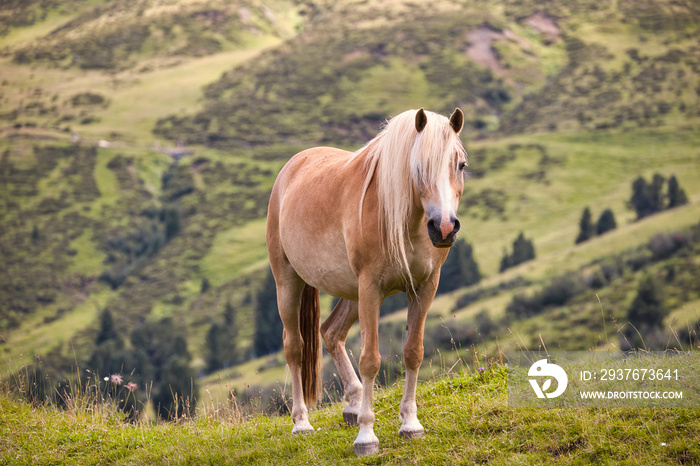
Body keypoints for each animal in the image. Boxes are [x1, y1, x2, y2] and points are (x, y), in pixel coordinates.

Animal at [266, 106, 468, 456]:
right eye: (418, 167)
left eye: (461, 164)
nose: (444, 227)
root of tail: (294, 165)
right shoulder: (371, 287)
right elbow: (371, 360)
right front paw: (367, 436)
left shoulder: (425, 288)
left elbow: (413, 352)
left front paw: (410, 424)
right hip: (289, 283)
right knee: (295, 347)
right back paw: (302, 423)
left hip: (351, 293)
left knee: (330, 332)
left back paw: (353, 403)